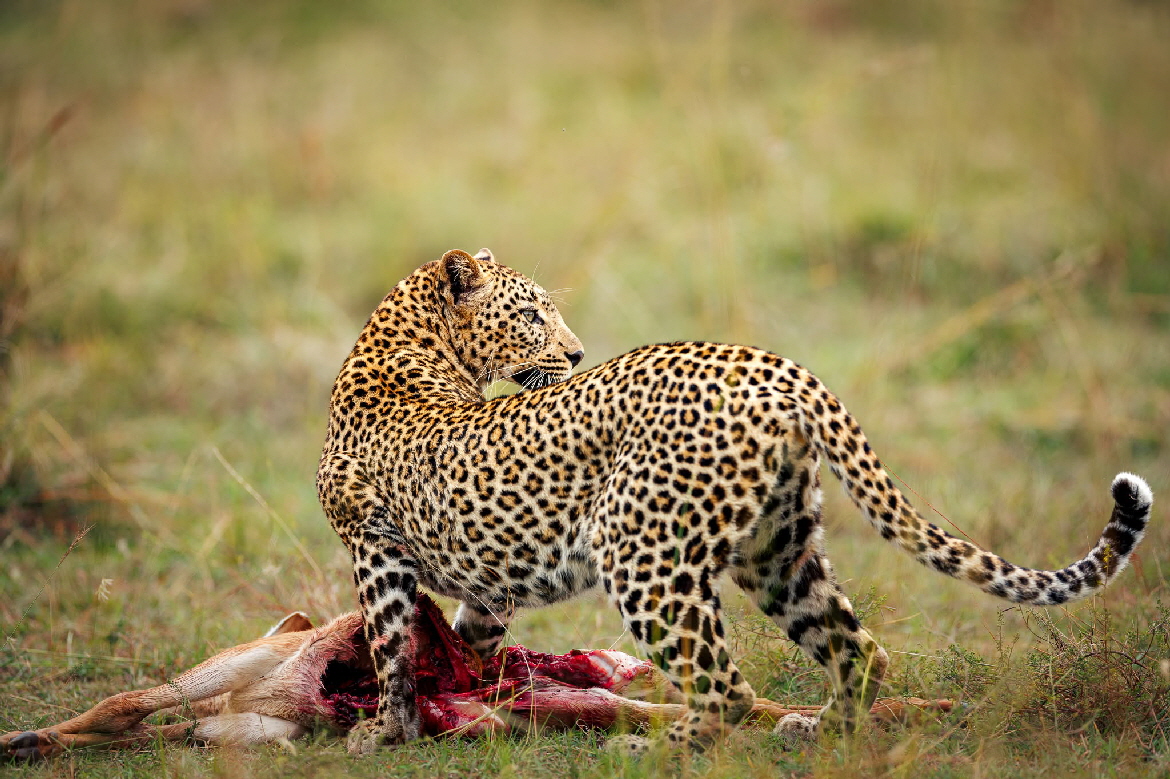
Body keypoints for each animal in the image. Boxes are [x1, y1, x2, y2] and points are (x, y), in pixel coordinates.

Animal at [317, 248, 1153, 755]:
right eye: (530, 314)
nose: (576, 353)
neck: (407, 344)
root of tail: (772, 364)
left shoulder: (373, 544)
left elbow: (390, 644)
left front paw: (384, 732)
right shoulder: (465, 568)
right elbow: (464, 631)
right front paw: (473, 692)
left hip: (642, 551)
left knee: (727, 686)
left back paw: (651, 747)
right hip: (778, 547)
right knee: (858, 650)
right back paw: (817, 732)